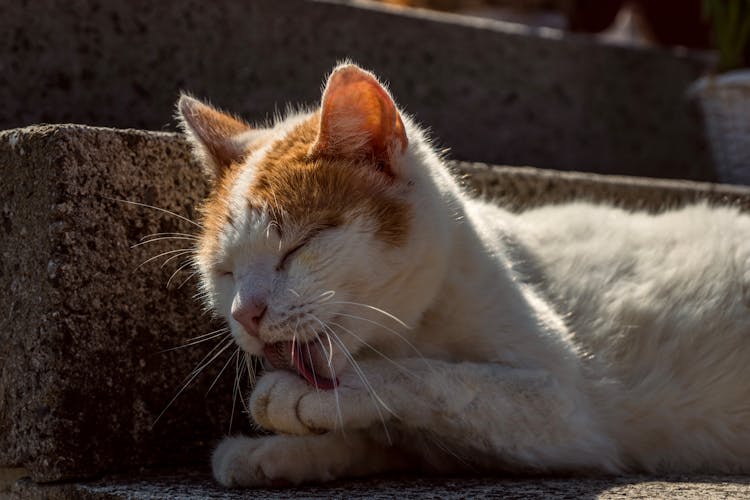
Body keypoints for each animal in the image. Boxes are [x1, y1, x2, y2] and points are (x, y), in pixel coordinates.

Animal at [178, 60, 750, 486]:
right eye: (225, 272)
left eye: (296, 248)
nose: (246, 314)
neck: (411, 328)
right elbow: (374, 438)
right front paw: (270, 454)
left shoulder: (566, 411)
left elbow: (438, 378)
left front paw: (295, 401)